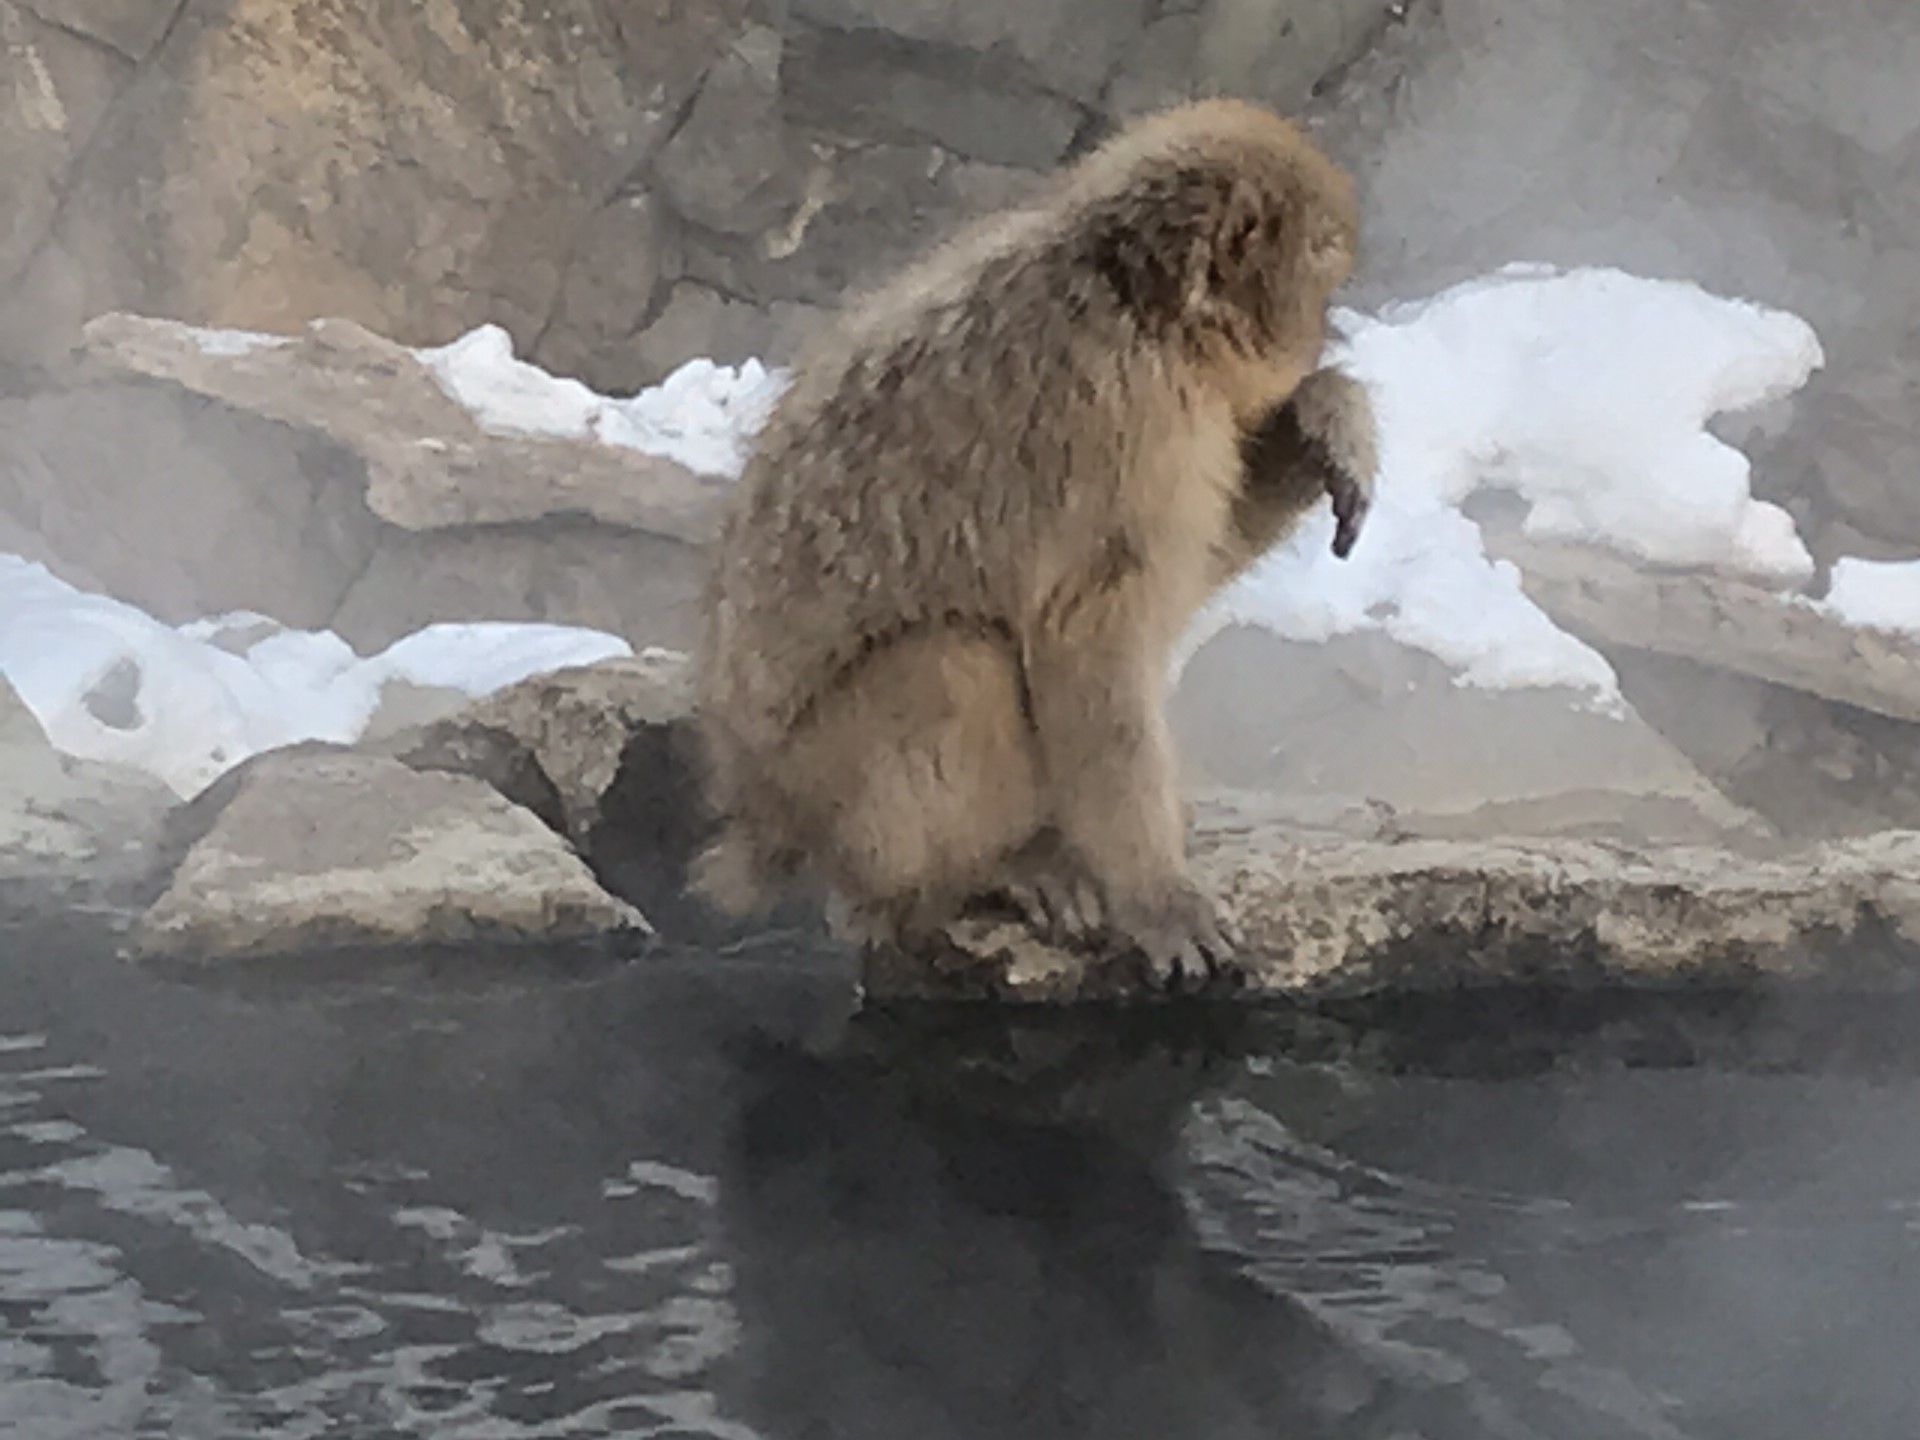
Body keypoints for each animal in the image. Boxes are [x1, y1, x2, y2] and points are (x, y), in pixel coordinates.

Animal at [691, 96, 1382, 990]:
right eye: (1321, 280)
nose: (1325, 336)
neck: (1135, 302)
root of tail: (755, 816)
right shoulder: (1124, 418)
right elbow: (1092, 637)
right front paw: (1155, 893)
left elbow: (1198, 558)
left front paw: (1326, 420)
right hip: (833, 797)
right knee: (949, 664)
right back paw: (998, 866)